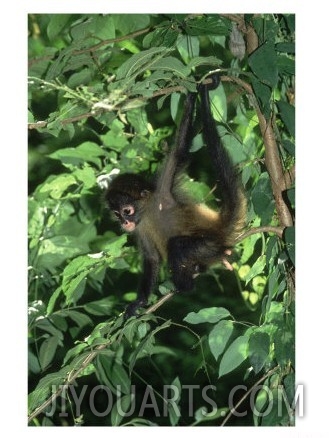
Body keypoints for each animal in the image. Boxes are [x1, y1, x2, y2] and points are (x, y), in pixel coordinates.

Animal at [105, 74, 246, 314]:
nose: (124, 223)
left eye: (127, 211)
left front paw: (191, 94)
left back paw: (185, 284)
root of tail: (218, 227)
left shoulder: (164, 187)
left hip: (208, 245)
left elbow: (180, 148)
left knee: (177, 245)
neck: (149, 210)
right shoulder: (140, 228)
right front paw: (139, 302)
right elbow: (152, 258)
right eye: (117, 214)